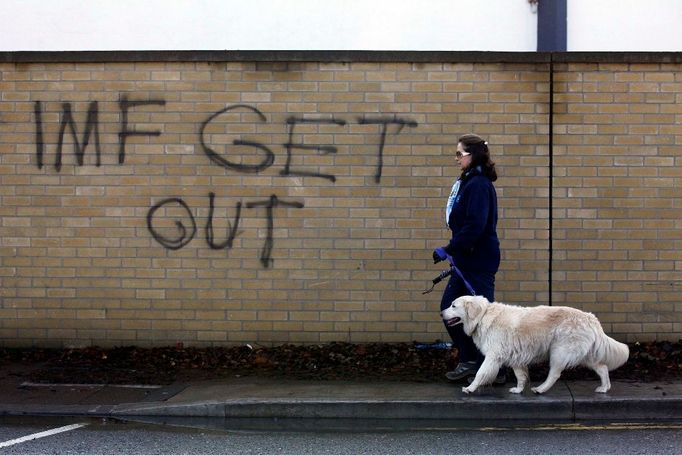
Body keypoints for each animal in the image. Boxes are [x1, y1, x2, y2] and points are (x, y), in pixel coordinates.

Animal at [440, 296, 628, 396]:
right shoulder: (515, 357)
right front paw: (518, 390)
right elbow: (521, 376)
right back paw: (604, 388)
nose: (441, 313)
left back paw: (540, 389)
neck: (482, 316)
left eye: (453, 305)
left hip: (559, 352)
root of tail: (590, 318)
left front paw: (470, 388)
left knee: (554, 374)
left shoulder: (493, 356)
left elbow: (480, 373)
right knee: (602, 368)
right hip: (585, 354)